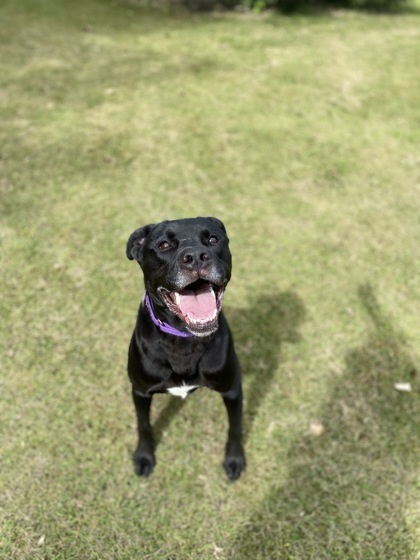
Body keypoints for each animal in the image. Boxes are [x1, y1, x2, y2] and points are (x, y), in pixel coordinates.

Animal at [127, 217, 246, 480]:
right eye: (163, 245)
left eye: (212, 239)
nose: (196, 256)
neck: (183, 339)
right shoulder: (140, 391)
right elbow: (143, 424)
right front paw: (144, 456)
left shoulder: (232, 389)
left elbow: (235, 426)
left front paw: (234, 459)